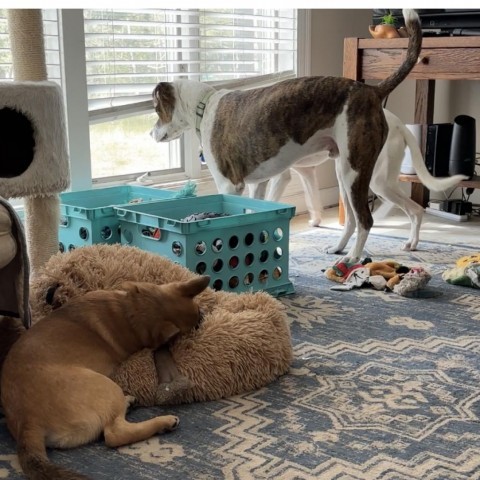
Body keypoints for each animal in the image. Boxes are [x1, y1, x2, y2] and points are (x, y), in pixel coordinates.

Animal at [0, 274, 209, 480]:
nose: (203, 318)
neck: (129, 309)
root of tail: (27, 422)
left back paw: (129, 402)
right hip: (107, 386)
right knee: (115, 434)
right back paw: (163, 422)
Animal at [152, 8, 422, 262]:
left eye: (156, 108)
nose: (151, 133)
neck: (204, 107)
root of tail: (373, 91)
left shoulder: (229, 185)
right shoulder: (258, 185)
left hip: (355, 172)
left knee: (365, 219)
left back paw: (353, 257)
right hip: (345, 172)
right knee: (353, 219)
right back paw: (338, 248)